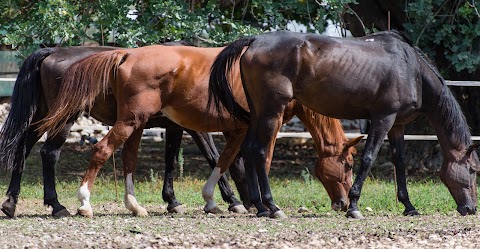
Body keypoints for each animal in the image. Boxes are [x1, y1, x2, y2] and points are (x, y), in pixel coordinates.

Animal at [0, 45, 248, 218]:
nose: (251, 202)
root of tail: (52, 51)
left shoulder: (174, 127)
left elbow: (170, 161)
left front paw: (172, 201)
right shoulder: (196, 128)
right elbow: (215, 157)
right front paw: (232, 200)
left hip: (44, 117)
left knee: (22, 149)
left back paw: (11, 203)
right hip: (64, 119)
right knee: (50, 154)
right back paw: (58, 205)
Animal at [36, 44, 360, 218]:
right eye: (348, 163)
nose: (343, 203)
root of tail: (126, 55)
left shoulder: (236, 130)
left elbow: (228, 162)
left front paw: (218, 201)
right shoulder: (257, 126)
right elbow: (252, 161)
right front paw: (260, 204)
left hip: (135, 123)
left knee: (128, 159)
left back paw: (135, 206)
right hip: (126, 121)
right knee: (100, 150)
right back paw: (83, 204)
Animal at [209, 30, 480, 219]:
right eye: (473, 170)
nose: (471, 209)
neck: (411, 69)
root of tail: (254, 41)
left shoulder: (397, 125)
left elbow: (400, 162)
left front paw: (409, 206)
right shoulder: (383, 118)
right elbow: (369, 158)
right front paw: (354, 206)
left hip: (258, 113)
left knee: (248, 150)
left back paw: (260, 206)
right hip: (271, 112)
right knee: (259, 151)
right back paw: (273, 207)